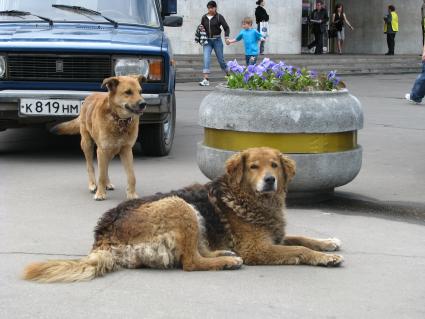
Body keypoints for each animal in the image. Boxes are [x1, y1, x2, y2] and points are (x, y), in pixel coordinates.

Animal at [23, 147, 342, 282]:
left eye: (274, 165)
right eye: (254, 167)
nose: (270, 180)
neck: (250, 198)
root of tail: (102, 237)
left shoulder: (275, 236)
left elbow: (302, 237)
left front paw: (328, 243)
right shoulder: (257, 248)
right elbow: (299, 248)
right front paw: (323, 257)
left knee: (196, 253)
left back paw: (224, 254)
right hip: (179, 206)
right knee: (190, 262)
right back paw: (226, 261)